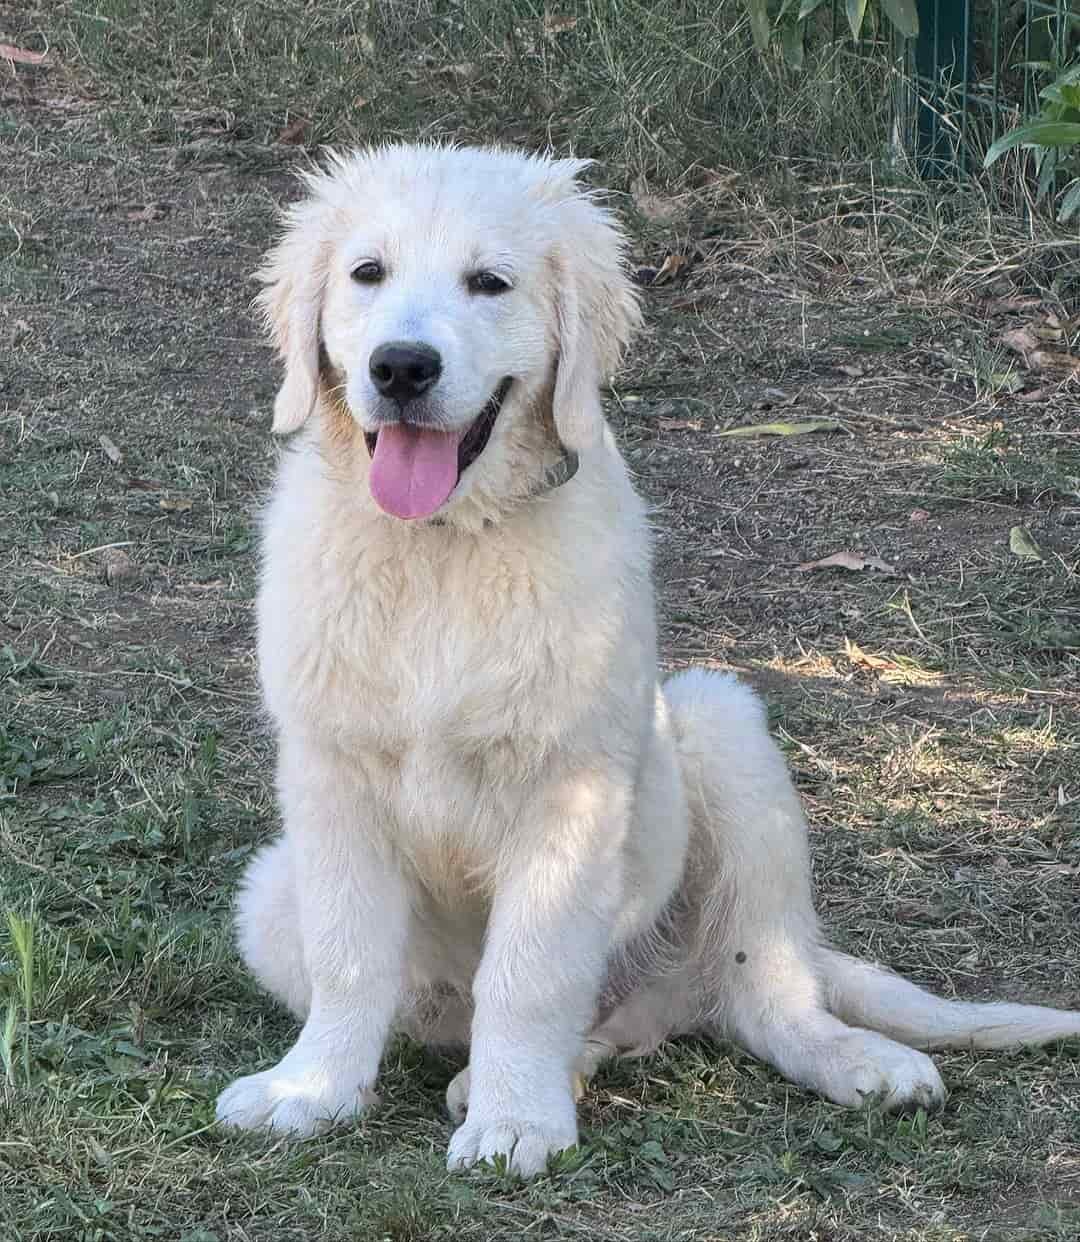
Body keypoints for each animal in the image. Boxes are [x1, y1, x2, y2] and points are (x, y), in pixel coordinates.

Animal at [215, 145, 1080, 1172]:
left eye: (489, 282)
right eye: (367, 274)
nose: (401, 366)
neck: (443, 547)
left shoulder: (570, 786)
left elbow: (532, 968)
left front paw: (515, 1120)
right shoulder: (331, 774)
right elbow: (351, 956)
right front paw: (313, 1090)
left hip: (722, 732)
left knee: (759, 984)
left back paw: (848, 1059)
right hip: (268, 894)